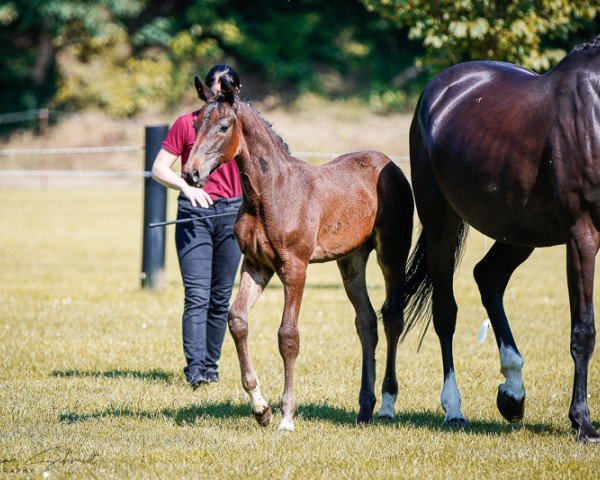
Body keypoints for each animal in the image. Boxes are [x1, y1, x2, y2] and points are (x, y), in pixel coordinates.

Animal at [184, 76, 412, 432]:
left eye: (223, 126)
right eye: (195, 124)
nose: (191, 173)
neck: (270, 193)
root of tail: (389, 164)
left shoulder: (295, 267)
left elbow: (288, 336)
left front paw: (287, 416)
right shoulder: (256, 265)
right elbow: (237, 320)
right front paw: (261, 409)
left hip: (392, 253)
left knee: (392, 317)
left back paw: (387, 404)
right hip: (351, 260)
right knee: (366, 321)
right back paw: (364, 408)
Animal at [408, 37, 600, 442]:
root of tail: (442, 88)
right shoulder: (582, 233)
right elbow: (584, 330)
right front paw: (583, 422)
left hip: (519, 231)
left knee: (488, 277)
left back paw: (512, 394)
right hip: (440, 222)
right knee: (445, 311)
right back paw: (454, 408)